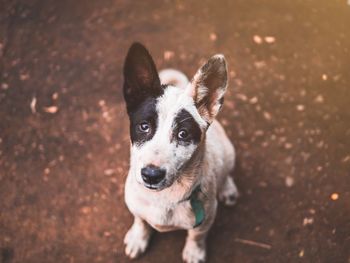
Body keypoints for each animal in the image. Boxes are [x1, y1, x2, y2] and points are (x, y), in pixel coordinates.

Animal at [121, 43, 239, 263]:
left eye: (183, 134)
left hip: (229, 152)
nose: (151, 175)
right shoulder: (135, 206)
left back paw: (228, 189)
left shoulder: (206, 219)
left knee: (226, 172)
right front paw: (138, 238)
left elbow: (196, 236)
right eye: (144, 126)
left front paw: (194, 251)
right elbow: (140, 220)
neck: (163, 197)